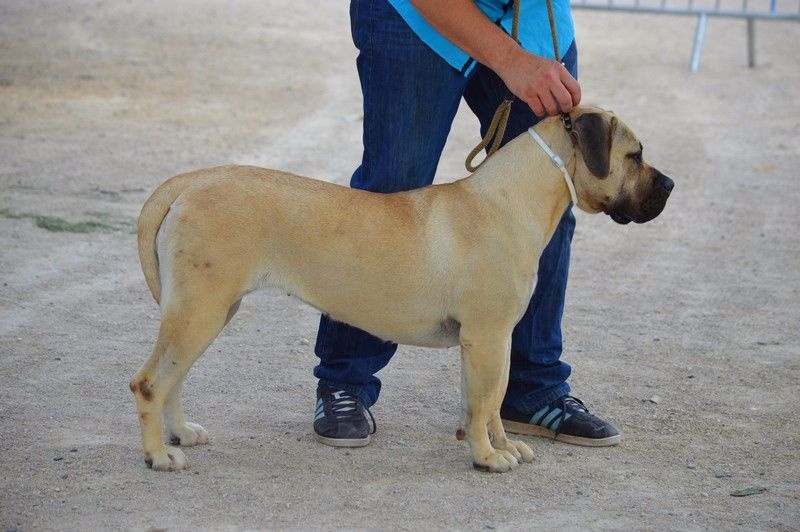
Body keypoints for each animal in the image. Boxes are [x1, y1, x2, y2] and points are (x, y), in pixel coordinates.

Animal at [131, 106, 676, 472]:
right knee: (150, 382)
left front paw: (500, 446)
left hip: (207, 312)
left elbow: (490, 401)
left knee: (174, 379)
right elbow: (485, 403)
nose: (671, 186)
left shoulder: (491, 342)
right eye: (635, 155)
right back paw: (159, 455)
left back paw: (180, 435)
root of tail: (191, 181)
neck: (510, 200)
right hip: (198, 312)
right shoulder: (487, 338)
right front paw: (487, 457)